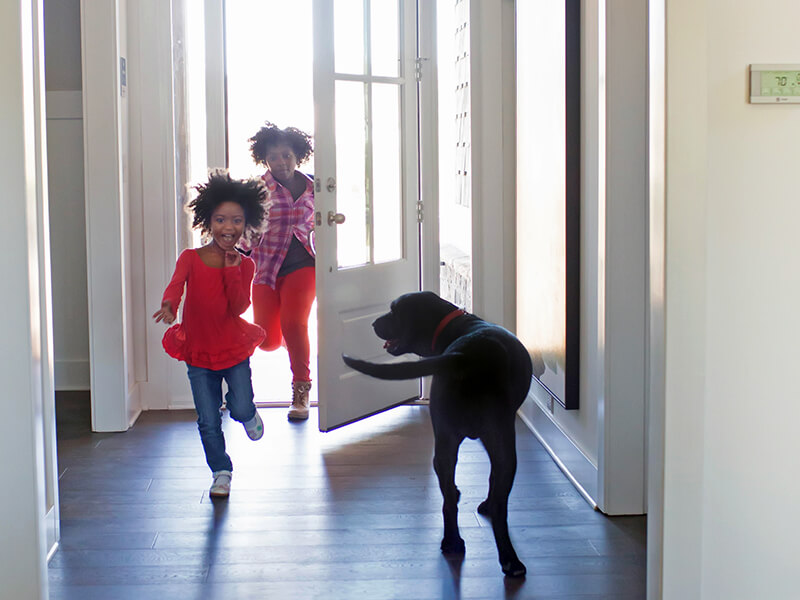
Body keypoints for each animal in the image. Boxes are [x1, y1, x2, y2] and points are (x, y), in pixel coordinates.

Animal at [342, 290, 536, 576]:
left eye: (394, 311)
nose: (374, 323)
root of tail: (465, 356)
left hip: (453, 443)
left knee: (450, 500)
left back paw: (462, 543)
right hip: (494, 444)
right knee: (494, 506)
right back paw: (501, 553)